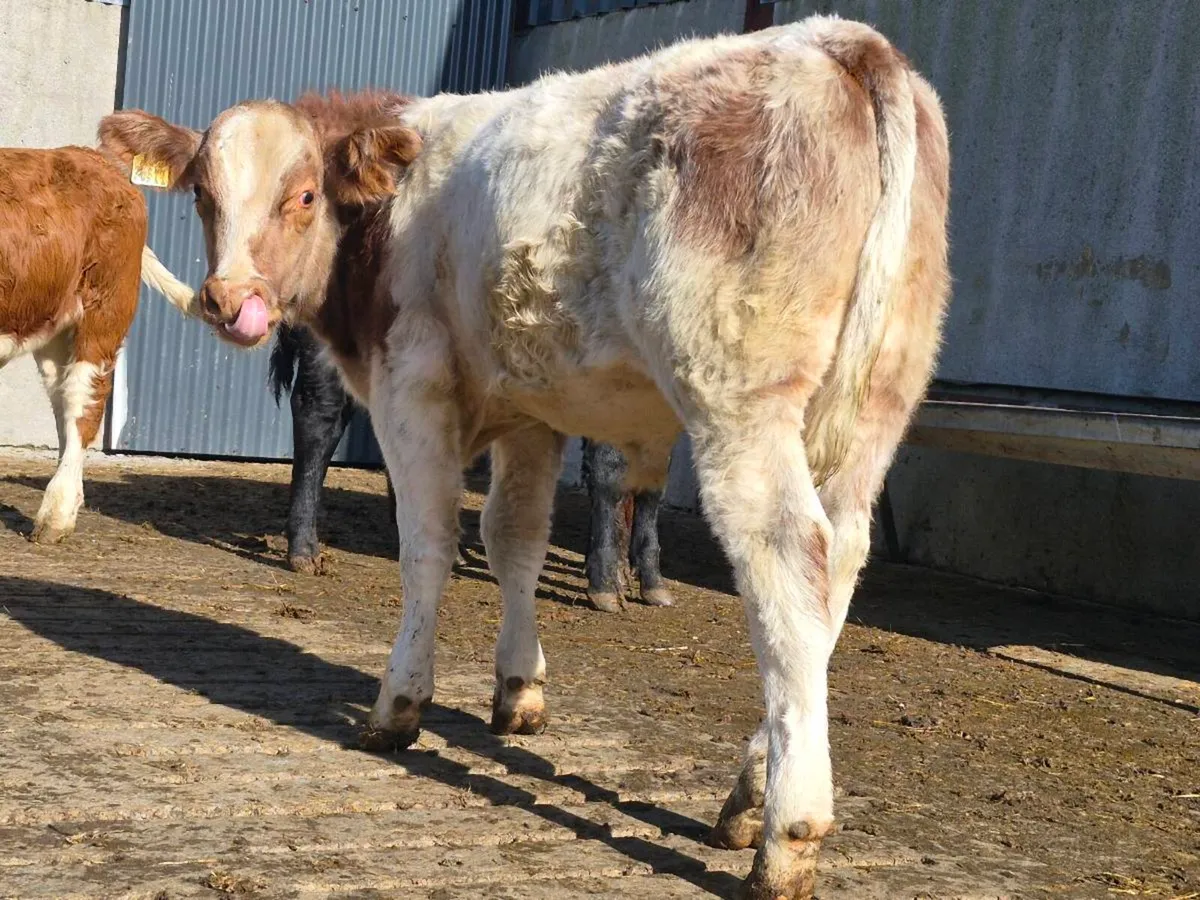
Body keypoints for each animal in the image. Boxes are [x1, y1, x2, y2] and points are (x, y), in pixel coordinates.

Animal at [271, 323, 671, 610]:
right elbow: (610, 469)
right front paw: (607, 585)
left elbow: (655, 483)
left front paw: (650, 580)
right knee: (319, 413)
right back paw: (304, 550)